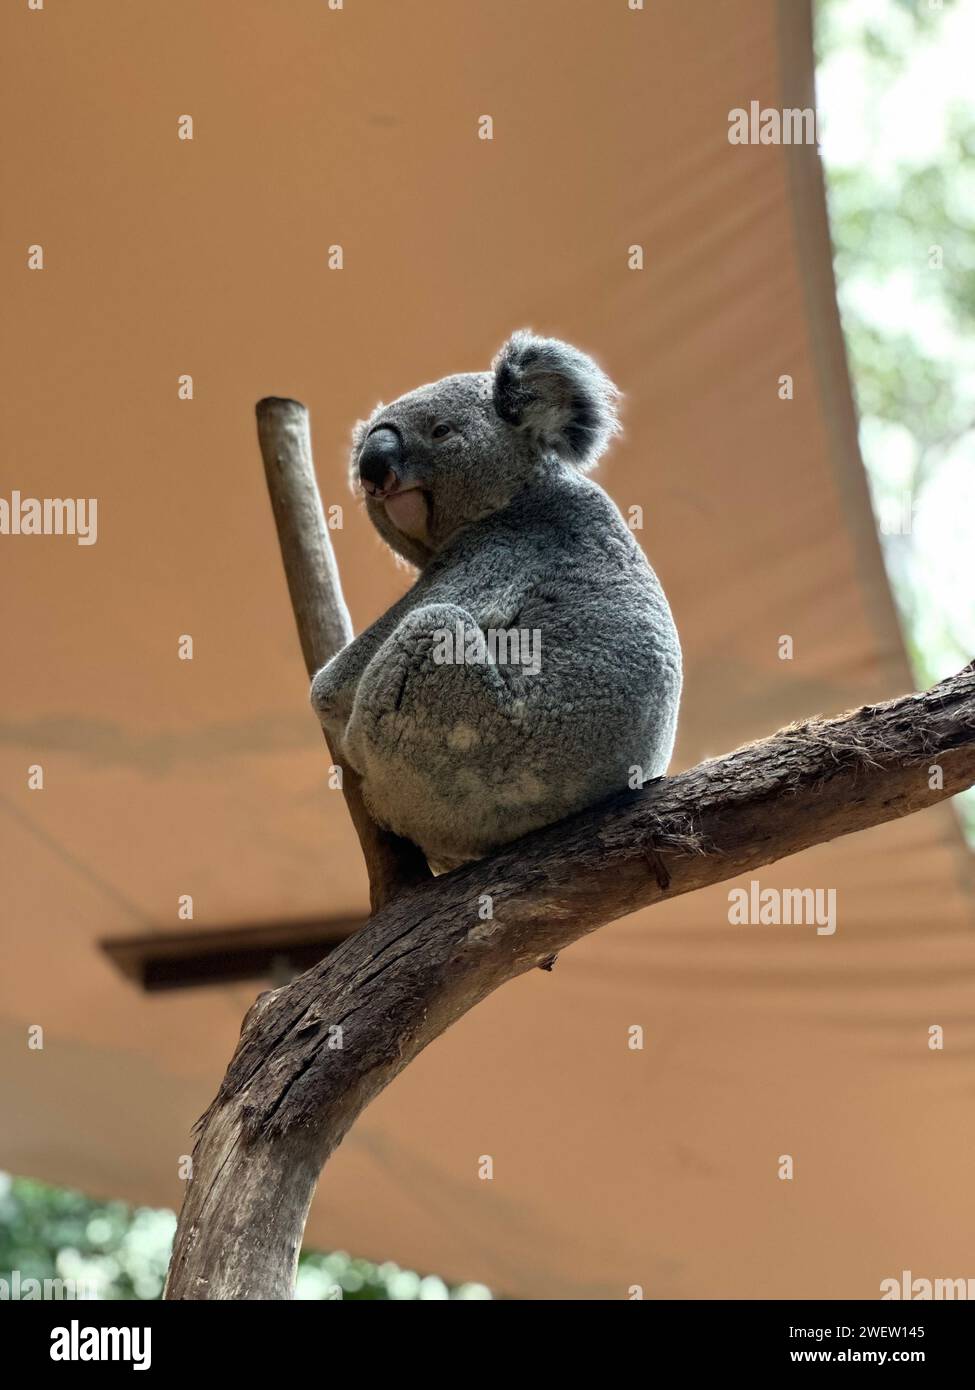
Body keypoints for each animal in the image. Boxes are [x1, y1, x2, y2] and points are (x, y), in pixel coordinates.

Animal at [310, 331, 682, 871]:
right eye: (364, 445)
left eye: (440, 431)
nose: (373, 472)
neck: (519, 490)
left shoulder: (498, 549)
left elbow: (334, 684)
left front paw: (326, 699)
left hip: (479, 737)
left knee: (432, 628)